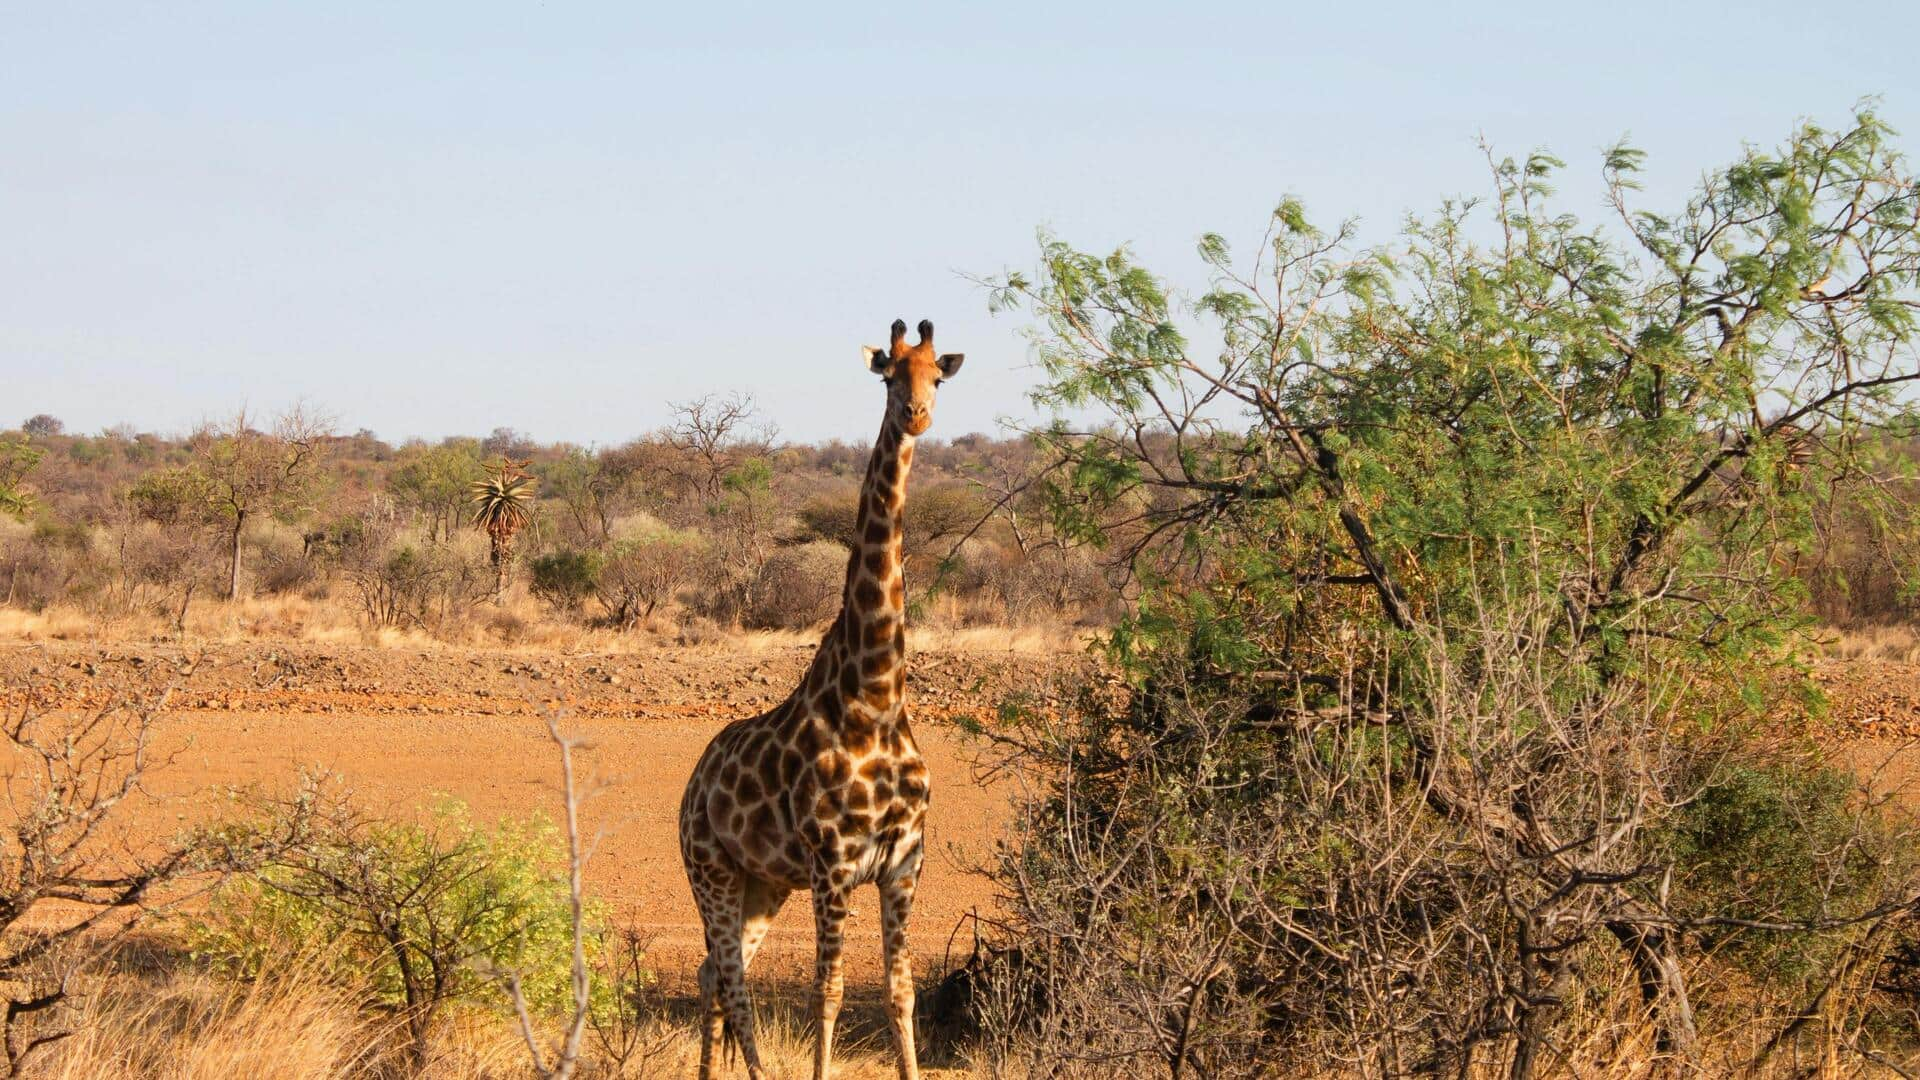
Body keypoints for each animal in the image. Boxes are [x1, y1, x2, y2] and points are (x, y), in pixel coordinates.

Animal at [683, 315, 967, 1068]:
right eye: (889, 375)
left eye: (937, 374)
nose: (917, 415)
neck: (876, 698)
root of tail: (695, 780)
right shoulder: (832, 863)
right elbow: (827, 994)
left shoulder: (903, 865)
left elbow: (901, 994)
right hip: (710, 869)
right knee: (732, 980)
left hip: (764, 884)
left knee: (715, 971)